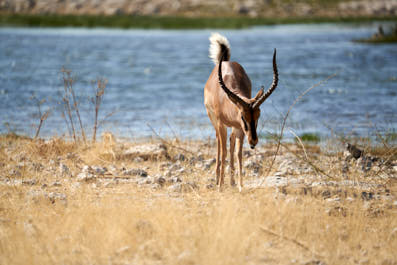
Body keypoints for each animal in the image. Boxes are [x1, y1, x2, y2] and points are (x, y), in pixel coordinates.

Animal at [203, 33, 276, 191]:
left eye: (258, 116)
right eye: (243, 116)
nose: (254, 141)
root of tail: (225, 61)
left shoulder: (240, 128)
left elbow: (238, 153)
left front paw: (241, 185)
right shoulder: (223, 123)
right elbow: (224, 150)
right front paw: (220, 187)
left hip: (234, 128)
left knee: (231, 141)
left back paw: (231, 182)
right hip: (214, 121)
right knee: (219, 142)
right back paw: (218, 179)